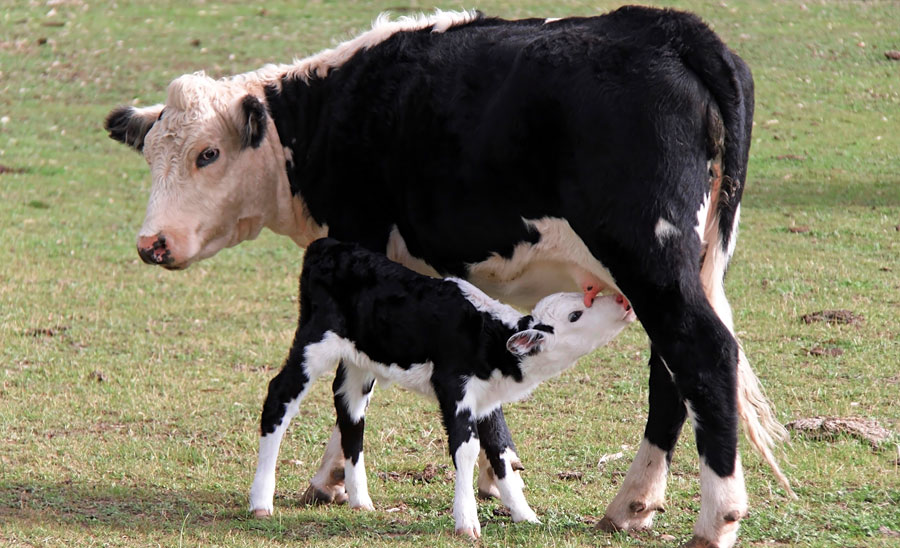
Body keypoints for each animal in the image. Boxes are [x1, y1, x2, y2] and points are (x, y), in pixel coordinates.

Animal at [250, 238, 636, 536]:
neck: (490, 338)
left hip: (359, 364)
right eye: (575, 316)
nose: (622, 300)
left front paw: (525, 515)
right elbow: (466, 450)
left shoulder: (486, 399)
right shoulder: (454, 389)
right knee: (279, 397)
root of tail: (327, 245)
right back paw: (261, 501)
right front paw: (467, 523)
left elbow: (499, 451)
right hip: (314, 342)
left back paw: (361, 501)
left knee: (350, 414)